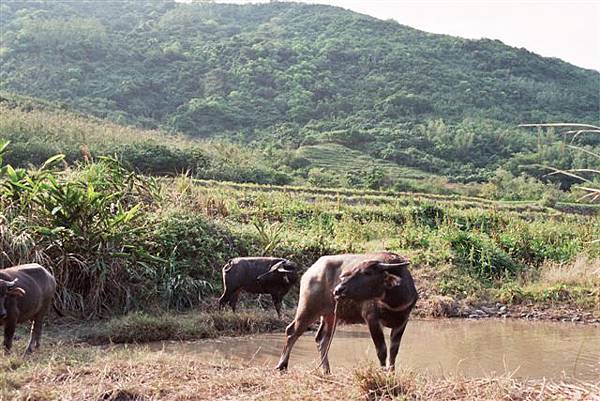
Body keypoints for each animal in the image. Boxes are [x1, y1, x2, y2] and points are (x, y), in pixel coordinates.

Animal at [276, 252, 418, 374]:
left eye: (367, 272)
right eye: (354, 270)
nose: (338, 289)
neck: (394, 300)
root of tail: (309, 272)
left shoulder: (403, 321)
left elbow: (394, 350)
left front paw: (392, 373)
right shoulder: (372, 319)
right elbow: (381, 350)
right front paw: (383, 373)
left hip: (330, 314)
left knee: (321, 339)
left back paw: (326, 370)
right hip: (308, 308)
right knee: (292, 331)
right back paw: (282, 365)